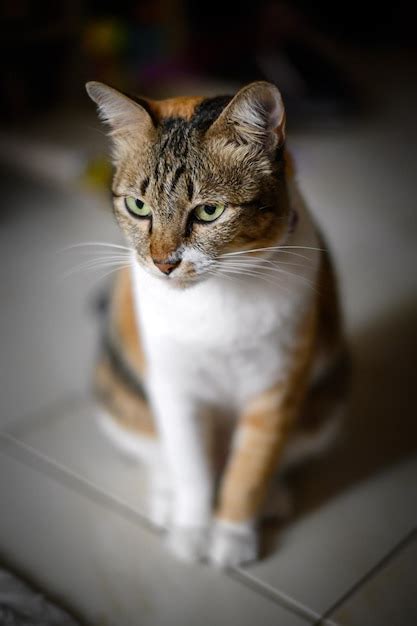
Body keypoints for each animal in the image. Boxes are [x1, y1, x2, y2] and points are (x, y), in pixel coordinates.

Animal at [87, 78, 348, 564]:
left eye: (209, 211)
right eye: (138, 206)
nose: (163, 262)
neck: (218, 294)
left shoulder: (277, 386)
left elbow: (251, 468)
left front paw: (232, 538)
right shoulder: (174, 385)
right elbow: (191, 466)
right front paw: (192, 530)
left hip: (327, 401)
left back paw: (274, 497)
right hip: (119, 390)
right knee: (159, 453)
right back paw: (166, 498)